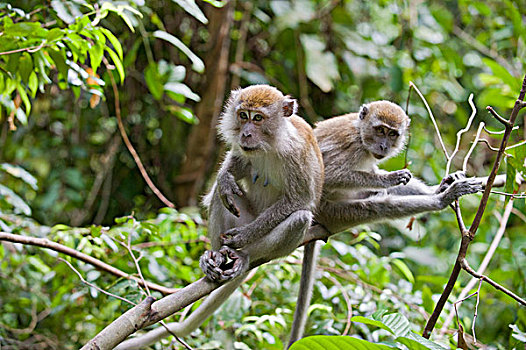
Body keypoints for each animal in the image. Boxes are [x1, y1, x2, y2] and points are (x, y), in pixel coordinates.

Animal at [288, 100, 486, 346]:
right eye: (380, 130)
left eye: (392, 134)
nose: (383, 146)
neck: (361, 135)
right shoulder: (351, 147)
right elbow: (330, 174)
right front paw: (388, 178)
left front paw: (441, 184)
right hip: (333, 213)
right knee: (379, 206)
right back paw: (441, 199)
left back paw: (440, 191)